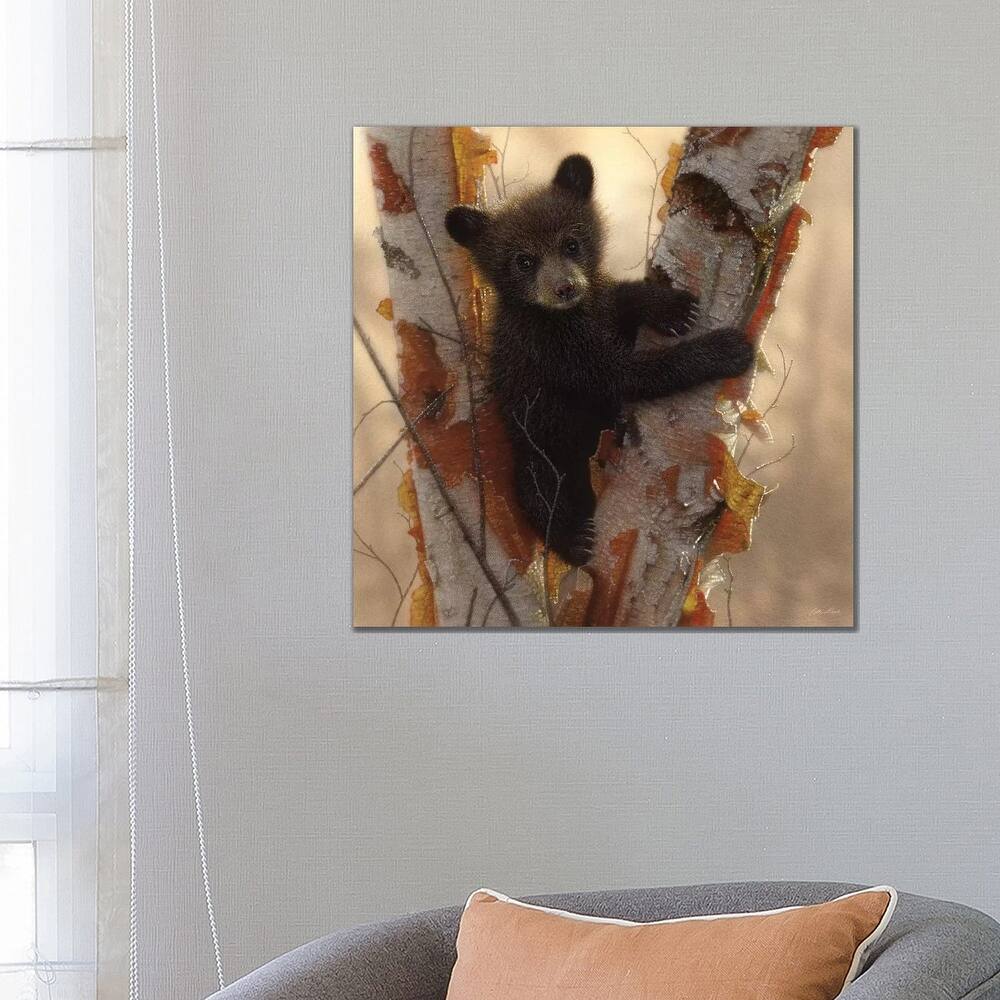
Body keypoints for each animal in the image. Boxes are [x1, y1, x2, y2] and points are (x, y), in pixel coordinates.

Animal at [444, 153, 754, 566]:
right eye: (523, 261)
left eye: (571, 244)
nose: (565, 287)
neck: (565, 315)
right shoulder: (551, 348)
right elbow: (620, 373)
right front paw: (727, 348)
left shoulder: (598, 305)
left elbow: (622, 298)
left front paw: (669, 305)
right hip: (541, 449)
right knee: (539, 492)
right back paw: (575, 539)